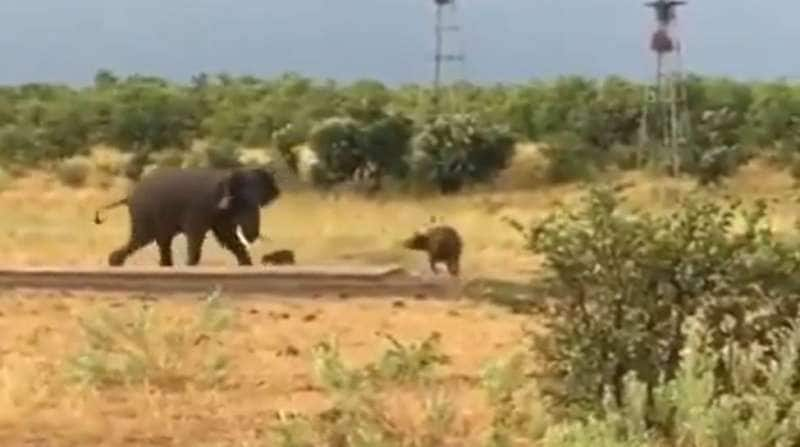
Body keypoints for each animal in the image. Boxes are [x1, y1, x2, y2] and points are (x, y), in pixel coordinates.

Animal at [93, 167, 280, 266]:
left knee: (160, 241)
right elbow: (197, 235)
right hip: (143, 212)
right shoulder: (200, 207)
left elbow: (228, 238)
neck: (227, 175)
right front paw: (190, 265)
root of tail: (128, 196)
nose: (253, 237)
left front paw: (246, 265)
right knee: (141, 238)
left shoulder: (222, 214)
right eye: (241, 201)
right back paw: (114, 262)